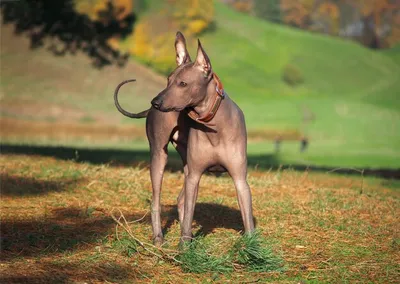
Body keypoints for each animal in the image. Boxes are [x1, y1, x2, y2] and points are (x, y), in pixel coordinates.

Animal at [114, 30, 255, 244]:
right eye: (168, 80)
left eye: (183, 83)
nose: (155, 102)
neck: (213, 125)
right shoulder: (194, 176)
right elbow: (188, 217)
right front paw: (185, 247)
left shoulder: (240, 179)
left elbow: (247, 220)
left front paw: (253, 248)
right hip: (160, 156)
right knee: (157, 200)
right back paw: (158, 238)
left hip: (186, 162)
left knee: (180, 200)